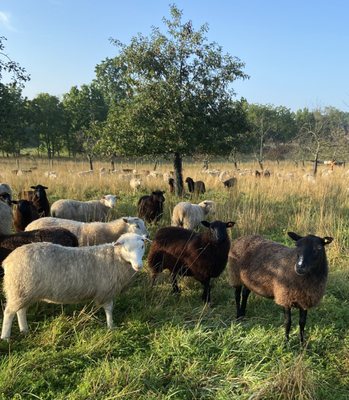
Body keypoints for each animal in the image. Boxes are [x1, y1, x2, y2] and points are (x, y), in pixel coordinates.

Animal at [0, 231, 149, 338]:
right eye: (126, 249)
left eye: (142, 246)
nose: (139, 266)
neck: (115, 257)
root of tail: (8, 260)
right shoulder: (106, 290)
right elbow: (109, 309)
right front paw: (111, 326)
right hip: (19, 288)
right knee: (9, 312)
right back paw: (5, 337)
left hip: (25, 290)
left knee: (21, 311)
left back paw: (24, 330)